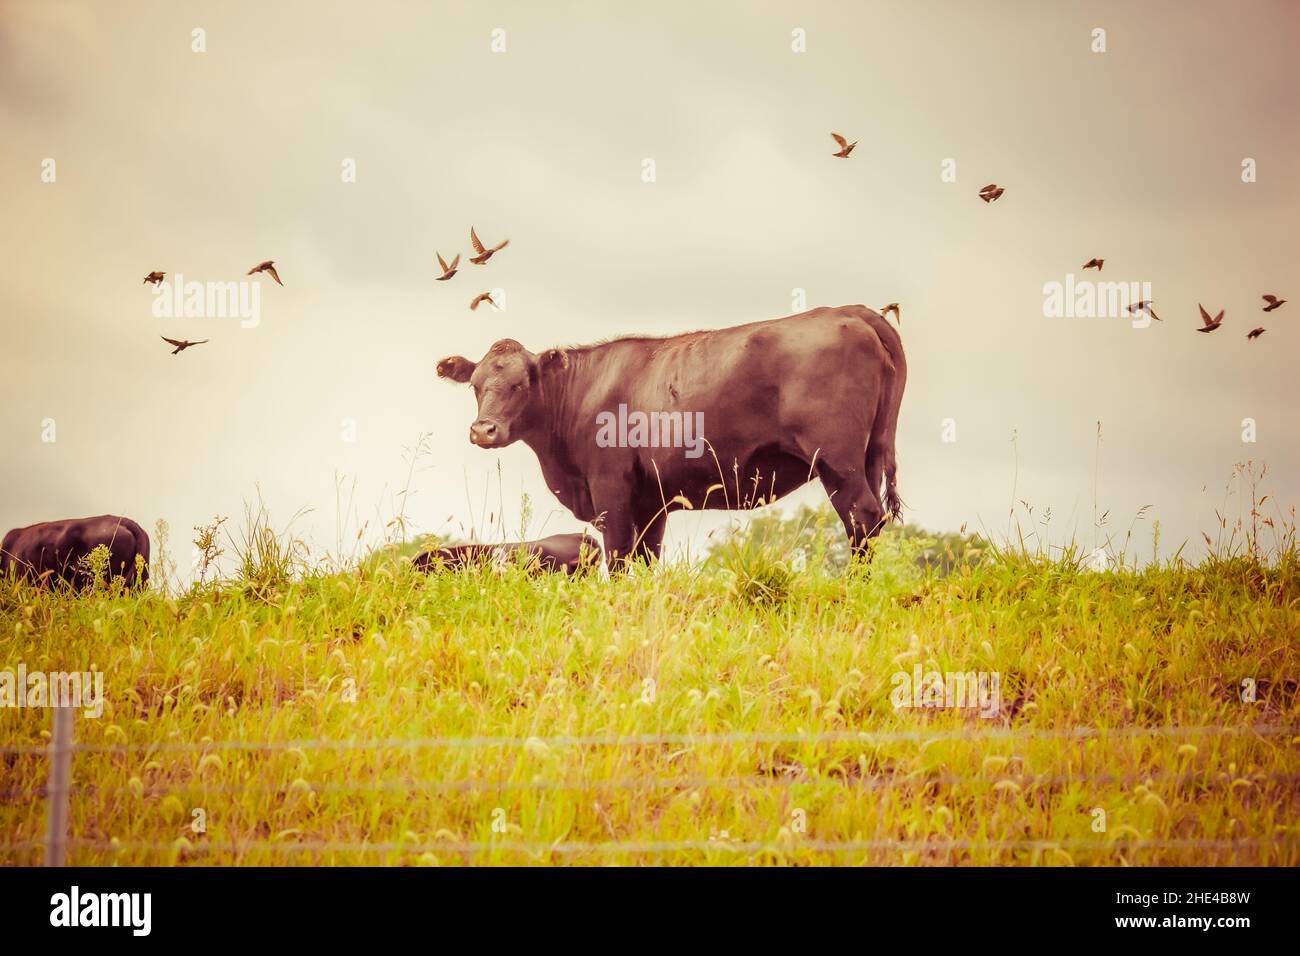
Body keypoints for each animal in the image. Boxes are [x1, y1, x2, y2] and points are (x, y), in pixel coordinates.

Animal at [436, 304, 904, 567]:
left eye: (520, 384)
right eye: (476, 385)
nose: (483, 430)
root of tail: (851, 310)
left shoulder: (611, 492)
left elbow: (620, 560)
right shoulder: (651, 503)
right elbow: (645, 562)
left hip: (837, 459)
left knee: (862, 518)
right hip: (867, 457)